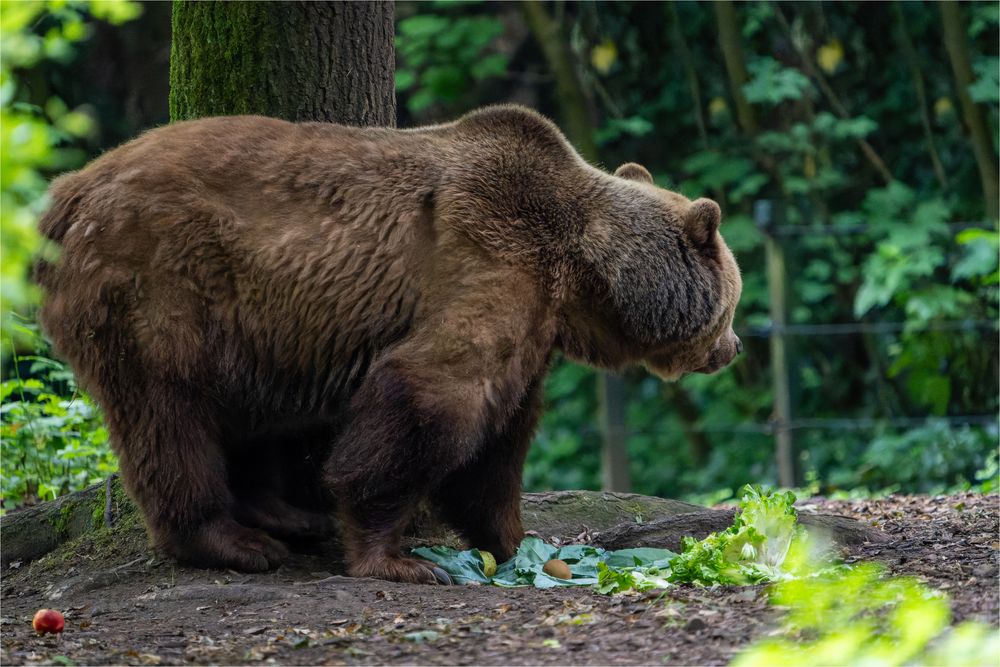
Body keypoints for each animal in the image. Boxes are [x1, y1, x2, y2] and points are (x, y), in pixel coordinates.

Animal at [35, 105, 744, 584]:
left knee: (247, 417)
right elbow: (429, 399)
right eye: (733, 301)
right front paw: (399, 559)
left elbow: (500, 443)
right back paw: (232, 541)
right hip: (161, 287)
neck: (579, 274)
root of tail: (63, 197)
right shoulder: (487, 265)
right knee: (171, 415)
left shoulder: (531, 325)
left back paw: (287, 516)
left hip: (253, 329)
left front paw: (522, 542)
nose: (732, 347)